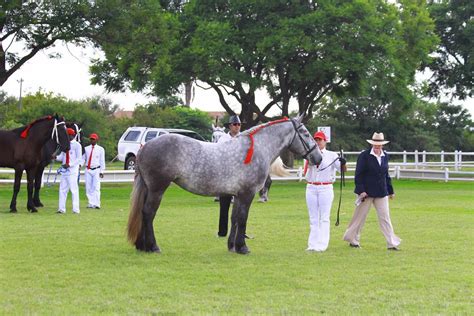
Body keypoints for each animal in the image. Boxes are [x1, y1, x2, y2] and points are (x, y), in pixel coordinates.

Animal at [127, 115, 322, 256]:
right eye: (305, 133)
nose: (318, 158)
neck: (257, 149)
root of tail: (144, 147)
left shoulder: (237, 194)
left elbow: (234, 218)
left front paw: (232, 246)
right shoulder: (247, 194)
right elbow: (243, 218)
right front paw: (243, 247)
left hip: (149, 189)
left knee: (143, 213)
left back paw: (141, 245)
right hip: (157, 189)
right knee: (148, 213)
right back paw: (153, 246)